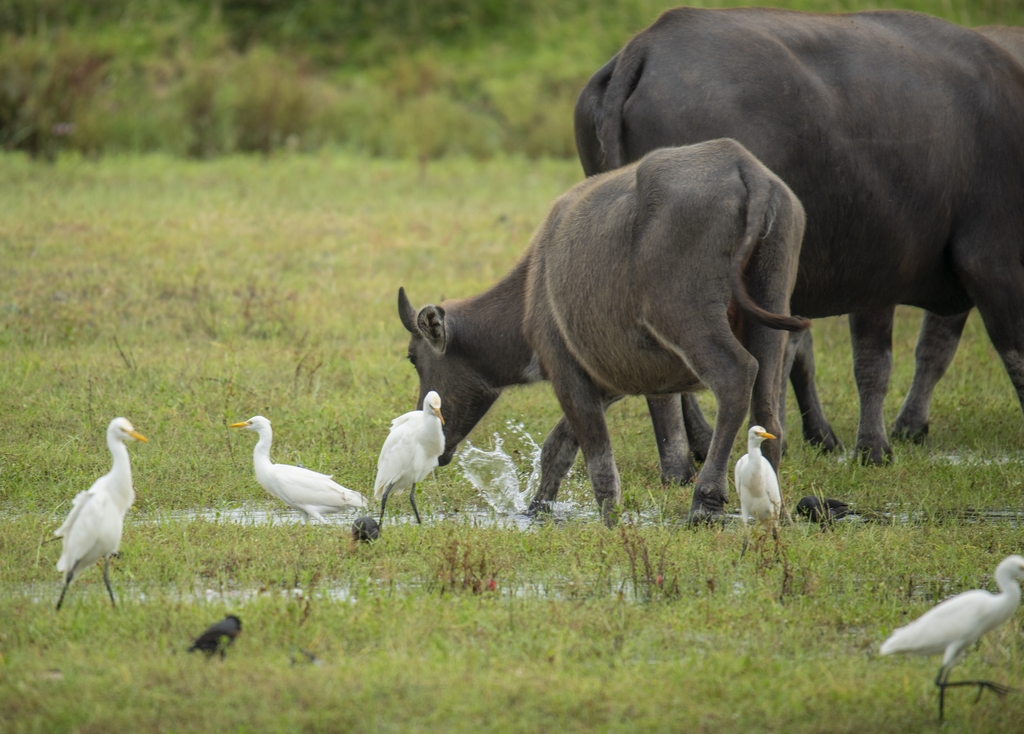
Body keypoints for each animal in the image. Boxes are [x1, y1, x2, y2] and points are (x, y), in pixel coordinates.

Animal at [399, 140, 808, 524]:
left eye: (414, 358)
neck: (532, 287)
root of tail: (743, 165)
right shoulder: (606, 380)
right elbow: (557, 447)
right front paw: (536, 509)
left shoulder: (566, 373)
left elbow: (597, 461)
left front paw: (609, 518)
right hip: (770, 310)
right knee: (767, 406)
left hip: (686, 316)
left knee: (736, 376)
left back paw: (704, 503)